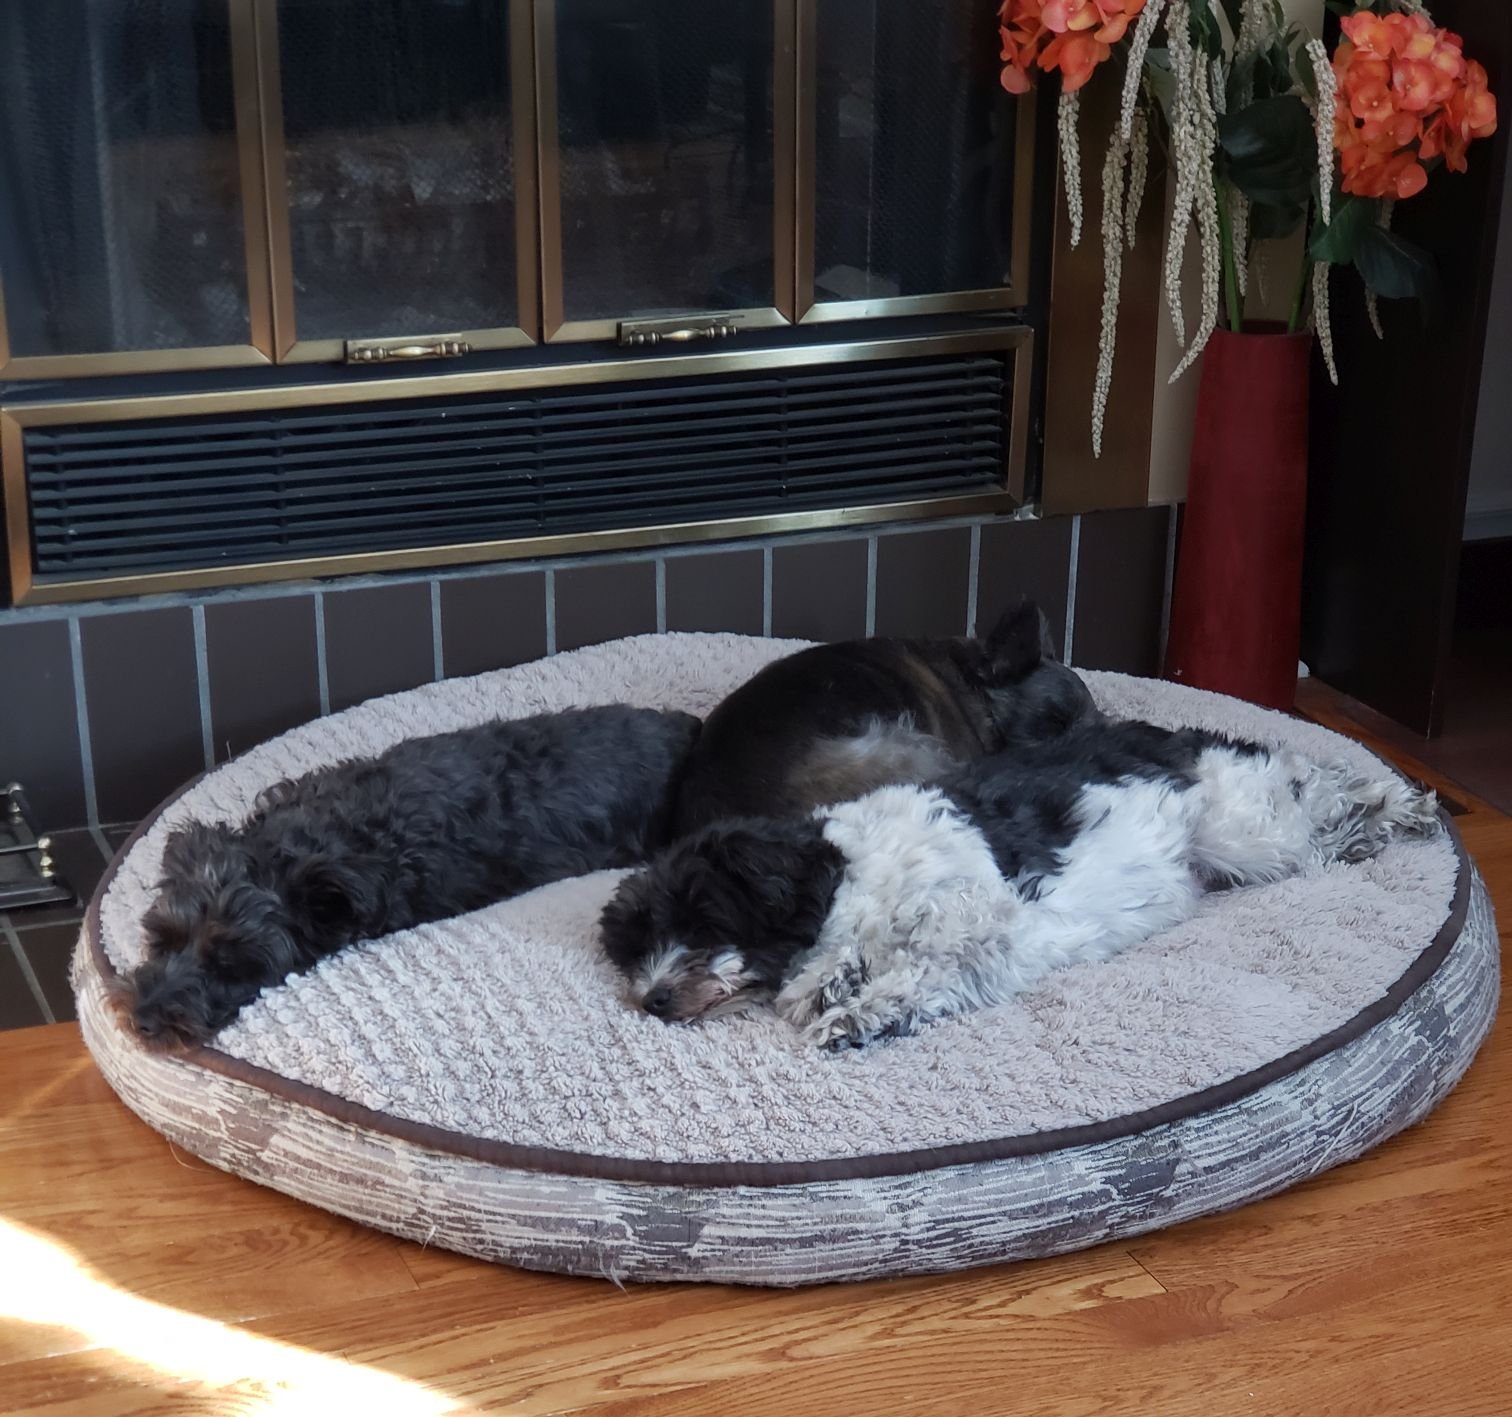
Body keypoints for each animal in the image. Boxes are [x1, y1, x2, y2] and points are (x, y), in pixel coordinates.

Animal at [598, 719, 1439, 1052]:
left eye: (703, 921)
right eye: (633, 947)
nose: (653, 999)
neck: (844, 875)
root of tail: (1179, 735)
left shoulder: (976, 914)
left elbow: (915, 962)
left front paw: (853, 1004)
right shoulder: (979, 956)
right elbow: (885, 980)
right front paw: (842, 992)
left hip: (1244, 831)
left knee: (1317, 794)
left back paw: (1400, 805)